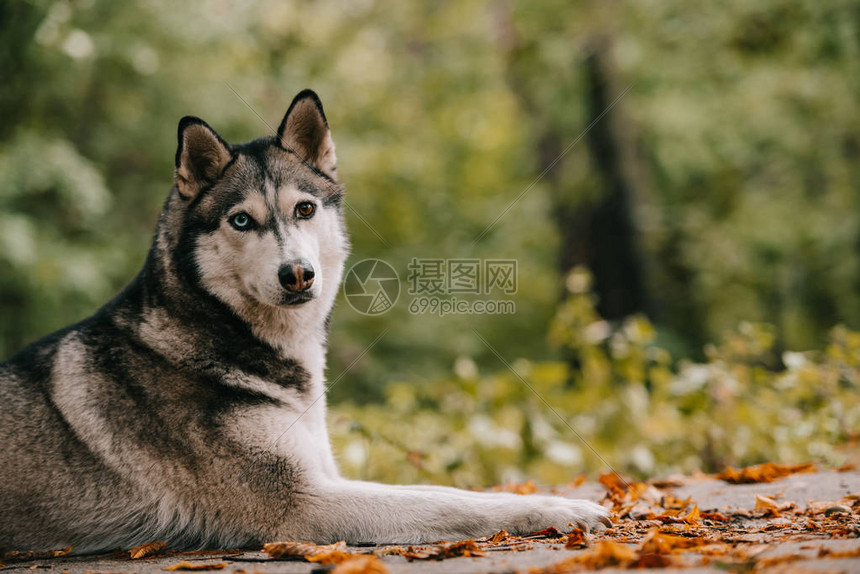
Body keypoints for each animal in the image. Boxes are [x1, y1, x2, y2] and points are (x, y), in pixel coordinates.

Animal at [0, 90, 608, 552]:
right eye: (241, 221)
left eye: (305, 209)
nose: (298, 274)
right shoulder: (303, 505)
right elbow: (451, 504)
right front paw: (561, 508)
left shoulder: (325, 476)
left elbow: (452, 492)